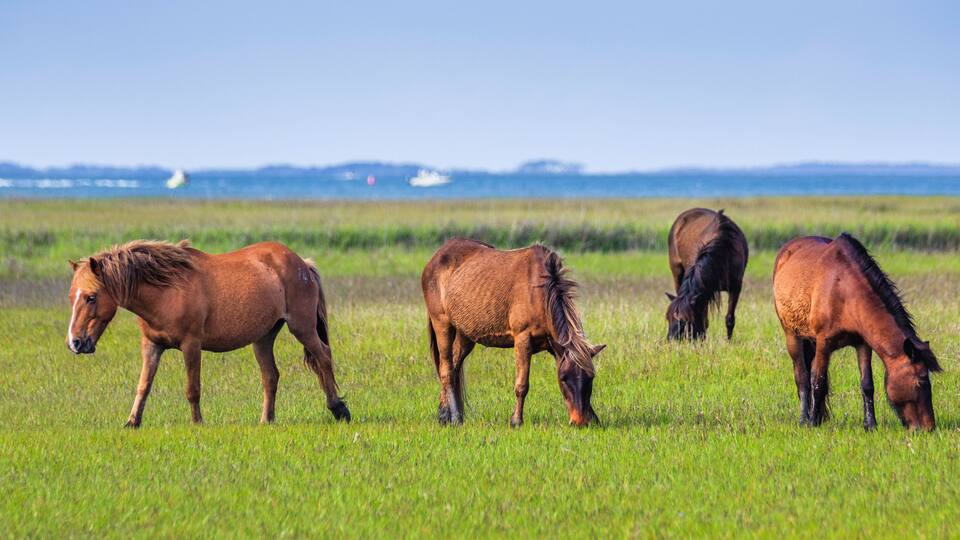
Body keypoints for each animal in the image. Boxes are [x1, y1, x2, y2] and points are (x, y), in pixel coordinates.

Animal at [66, 240, 351, 427]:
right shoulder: (151, 345)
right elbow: (143, 385)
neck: (166, 291)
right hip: (263, 338)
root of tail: (302, 263)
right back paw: (266, 420)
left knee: (323, 357)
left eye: (91, 297)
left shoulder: (191, 345)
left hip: (302, 327)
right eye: (71, 297)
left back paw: (338, 409)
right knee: (270, 376)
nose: (75, 343)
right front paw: (132, 422)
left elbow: (192, 388)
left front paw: (197, 422)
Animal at [421, 238, 606, 427]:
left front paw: (593, 416)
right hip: (442, 323)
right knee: (447, 371)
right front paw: (516, 421)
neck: (541, 291)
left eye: (591, 377)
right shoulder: (523, 338)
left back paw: (444, 414)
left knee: (455, 366)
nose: (580, 422)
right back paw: (455, 418)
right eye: (563, 378)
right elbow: (522, 385)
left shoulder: (555, 347)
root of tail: (435, 258)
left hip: (466, 335)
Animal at [666, 208, 748, 340]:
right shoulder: (703, 291)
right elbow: (704, 320)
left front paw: (728, 342)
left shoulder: (735, 288)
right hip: (677, 272)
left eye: (684, 322)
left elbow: (730, 319)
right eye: (668, 318)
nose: (670, 340)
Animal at [773, 233, 941, 431]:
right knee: (802, 378)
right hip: (792, 335)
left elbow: (867, 384)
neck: (843, 290)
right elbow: (817, 382)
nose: (929, 427)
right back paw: (804, 419)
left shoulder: (862, 344)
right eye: (921, 381)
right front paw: (813, 423)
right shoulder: (823, 343)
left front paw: (870, 425)